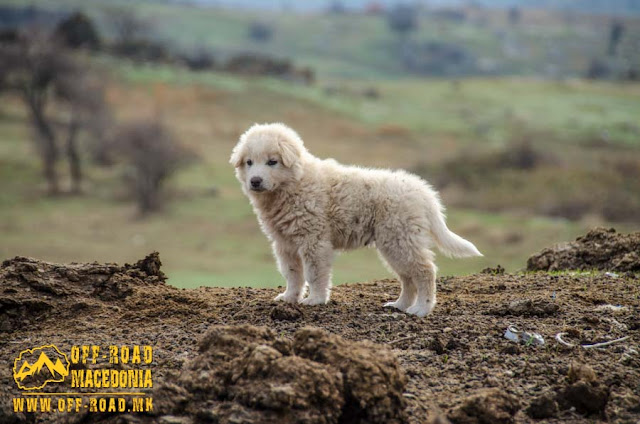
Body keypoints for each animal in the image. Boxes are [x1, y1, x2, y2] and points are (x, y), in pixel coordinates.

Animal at [230, 122, 480, 314]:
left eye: (272, 161)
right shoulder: (284, 243)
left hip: (400, 238)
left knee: (425, 271)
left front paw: (315, 300)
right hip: (392, 244)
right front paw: (289, 297)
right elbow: (292, 273)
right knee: (407, 277)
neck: (295, 184)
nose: (255, 181)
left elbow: (314, 273)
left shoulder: (314, 240)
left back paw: (421, 309)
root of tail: (424, 192)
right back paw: (400, 305)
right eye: (249, 162)